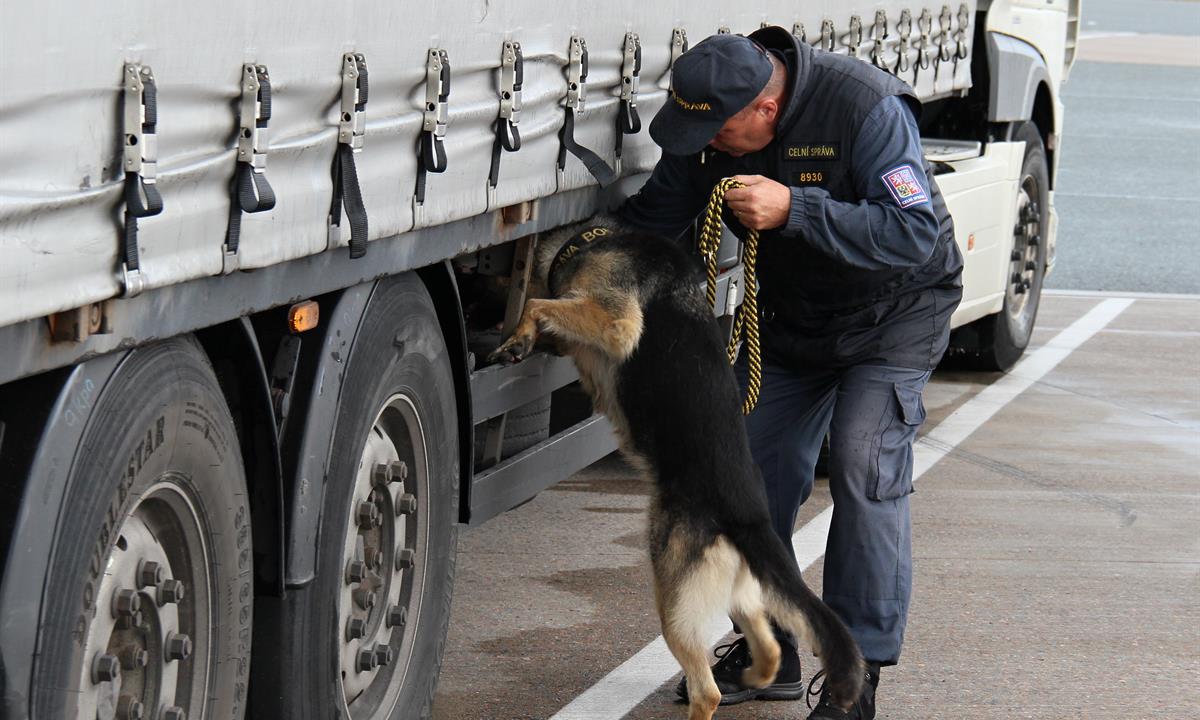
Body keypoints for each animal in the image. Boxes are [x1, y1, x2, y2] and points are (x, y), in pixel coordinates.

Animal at [488, 216, 865, 720]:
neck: (591, 239)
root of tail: (748, 516)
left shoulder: (616, 322)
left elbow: (538, 302)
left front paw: (519, 336)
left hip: (673, 597)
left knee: (708, 690)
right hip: (734, 592)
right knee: (769, 647)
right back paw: (755, 675)